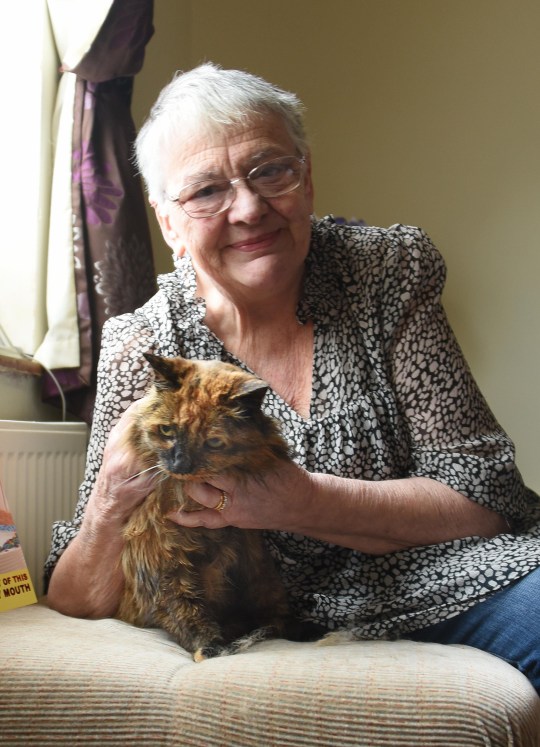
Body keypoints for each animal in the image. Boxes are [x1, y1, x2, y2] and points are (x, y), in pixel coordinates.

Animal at [114, 354, 316, 664]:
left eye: (213, 442)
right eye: (167, 430)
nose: (180, 465)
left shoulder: (252, 561)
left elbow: (273, 608)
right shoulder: (163, 558)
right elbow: (185, 611)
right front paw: (209, 647)